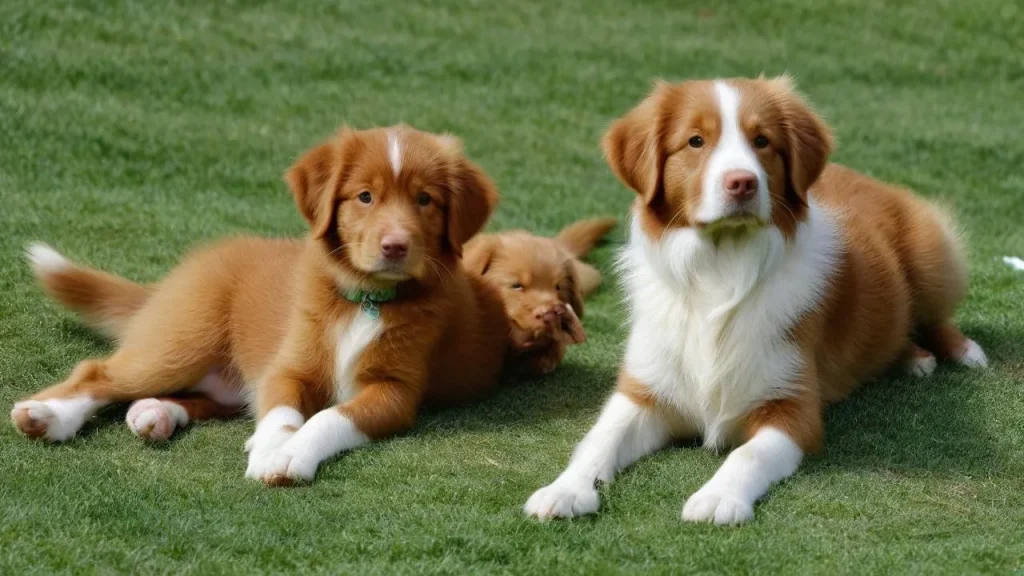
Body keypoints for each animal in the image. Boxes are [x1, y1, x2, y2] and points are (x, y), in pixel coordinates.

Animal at [14, 124, 509, 483]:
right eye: (365, 196)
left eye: (425, 200)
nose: (395, 247)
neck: (365, 299)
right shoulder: (289, 366)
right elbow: (282, 411)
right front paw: (273, 447)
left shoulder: (394, 390)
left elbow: (330, 417)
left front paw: (291, 454)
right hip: (185, 338)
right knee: (100, 373)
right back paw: (47, 416)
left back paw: (155, 413)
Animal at [524, 77, 987, 524]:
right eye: (695, 141)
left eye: (762, 140)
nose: (742, 182)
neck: (720, 270)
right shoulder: (644, 390)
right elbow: (598, 439)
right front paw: (564, 490)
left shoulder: (793, 408)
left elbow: (746, 455)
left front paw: (717, 498)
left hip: (934, 254)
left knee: (935, 314)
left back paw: (959, 351)